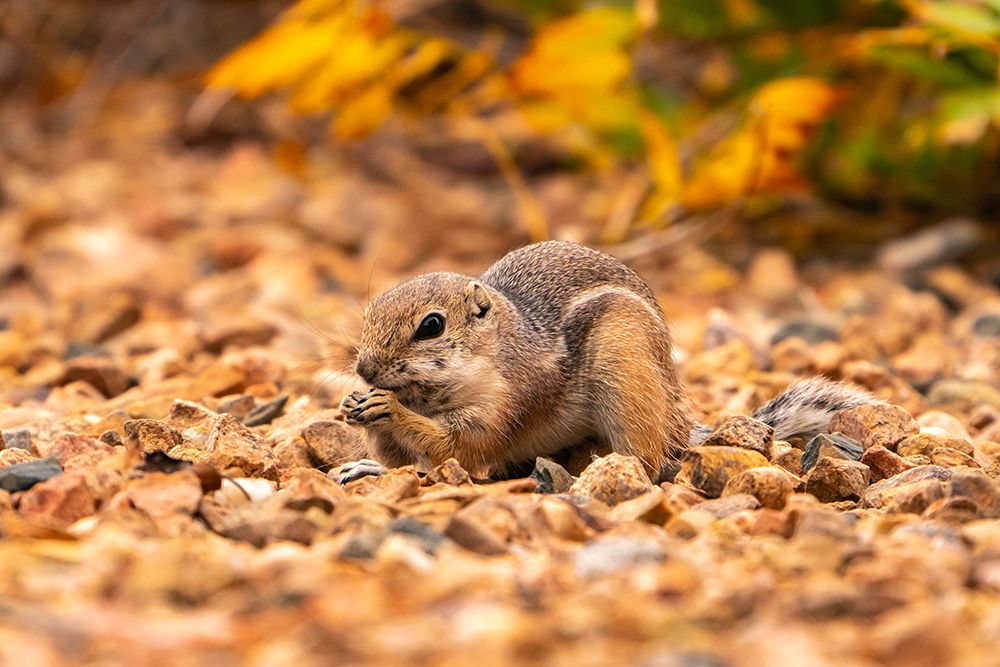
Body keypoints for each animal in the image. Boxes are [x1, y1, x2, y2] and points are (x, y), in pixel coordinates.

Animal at [337, 241, 877, 484]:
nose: (364, 370)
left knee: (649, 463)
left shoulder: (503, 405)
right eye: (370, 311)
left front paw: (389, 409)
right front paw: (359, 424)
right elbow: (402, 461)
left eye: (431, 325)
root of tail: (679, 425)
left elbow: (459, 447)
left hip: (625, 379)